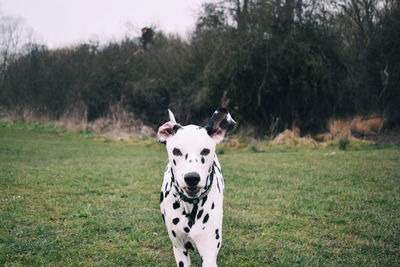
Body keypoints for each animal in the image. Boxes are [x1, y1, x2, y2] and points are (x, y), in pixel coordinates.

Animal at [158, 108, 236, 266]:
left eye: (205, 151)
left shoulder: (209, 254)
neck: (190, 206)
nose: (192, 178)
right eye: (177, 151)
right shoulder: (179, 248)